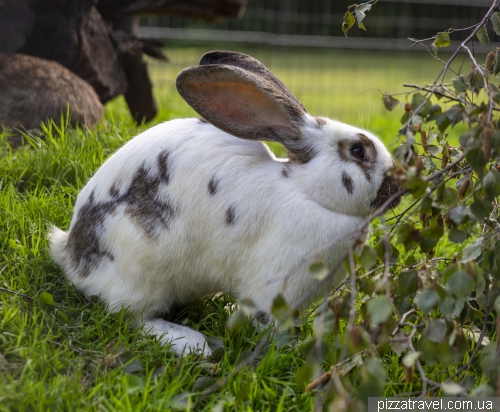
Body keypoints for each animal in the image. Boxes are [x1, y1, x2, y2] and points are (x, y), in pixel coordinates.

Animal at [49, 50, 402, 358]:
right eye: (358, 151)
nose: (398, 186)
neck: (309, 193)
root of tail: (70, 250)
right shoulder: (275, 285)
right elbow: (267, 322)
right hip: (139, 267)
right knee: (131, 316)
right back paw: (191, 343)